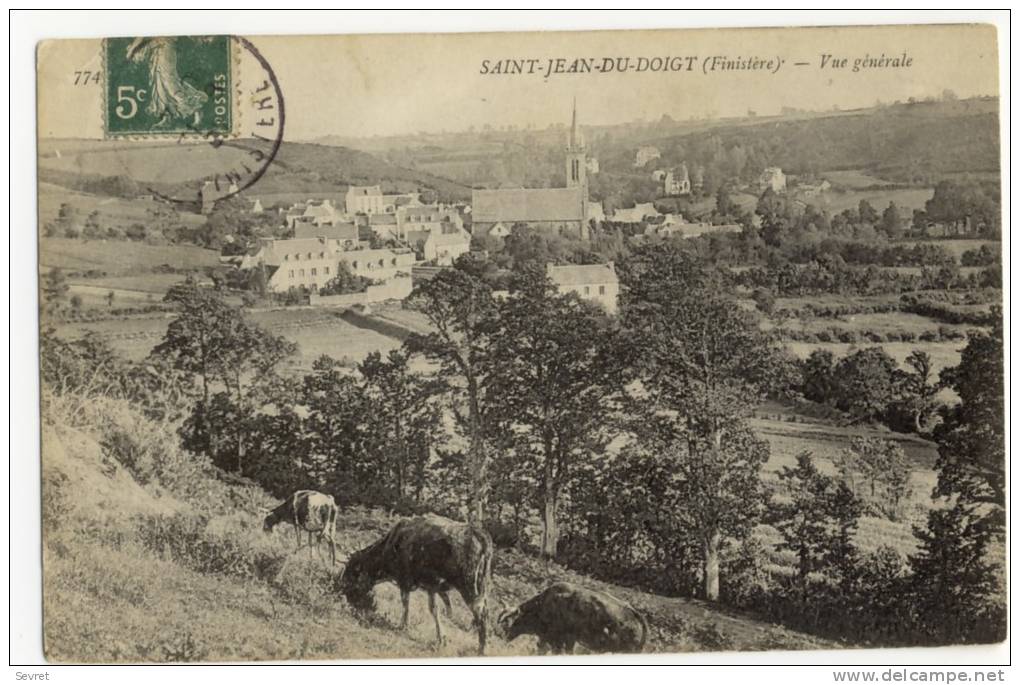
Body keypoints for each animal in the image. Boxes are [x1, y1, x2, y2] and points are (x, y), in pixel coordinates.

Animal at [338, 515, 493, 656]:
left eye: (351, 572)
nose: (343, 592)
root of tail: (479, 533)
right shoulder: (432, 587)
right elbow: (438, 610)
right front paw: (442, 638)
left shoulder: (405, 580)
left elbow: (407, 604)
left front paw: (403, 626)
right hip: (481, 586)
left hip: (468, 585)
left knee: (481, 613)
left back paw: (482, 648)